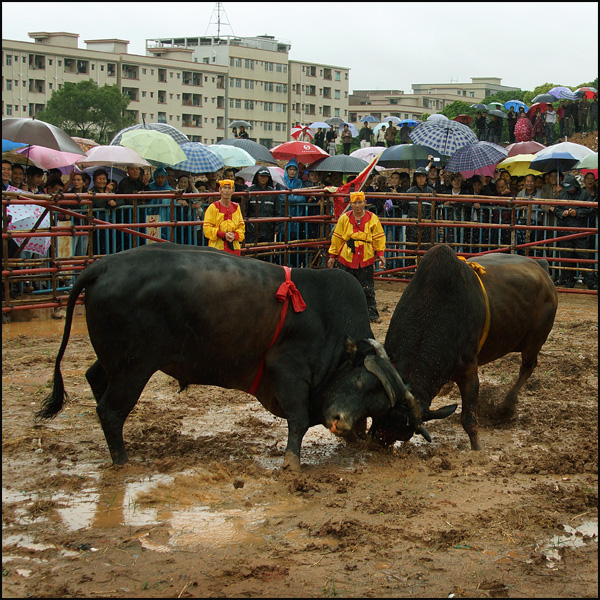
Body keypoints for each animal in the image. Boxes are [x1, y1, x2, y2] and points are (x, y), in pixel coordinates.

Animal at [35, 241, 396, 472]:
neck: (330, 323)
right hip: (132, 368)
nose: (348, 427)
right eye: (361, 383)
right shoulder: (289, 372)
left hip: (117, 362)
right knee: (110, 410)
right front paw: (292, 465)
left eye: (376, 402)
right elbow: (299, 420)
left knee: (95, 378)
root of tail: (103, 265)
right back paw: (122, 462)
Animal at [324, 244, 556, 450]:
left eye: (407, 432)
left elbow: (468, 417)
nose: (376, 444)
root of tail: (541, 266)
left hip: (534, 342)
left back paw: (506, 406)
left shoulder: (469, 372)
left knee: (527, 367)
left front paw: (477, 448)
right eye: (377, 415)